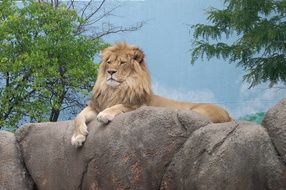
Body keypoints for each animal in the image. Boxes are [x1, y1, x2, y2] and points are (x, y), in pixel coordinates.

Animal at [71, 42, 232, 147]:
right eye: (109, 62)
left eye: (122, 62)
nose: (110, 72)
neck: (115, 90)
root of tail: (229, 115)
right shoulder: (97, 105)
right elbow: (78, 117)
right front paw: (77, 137)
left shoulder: (138, 105)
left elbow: (120, 105)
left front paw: (105, 115)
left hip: (199, 111)